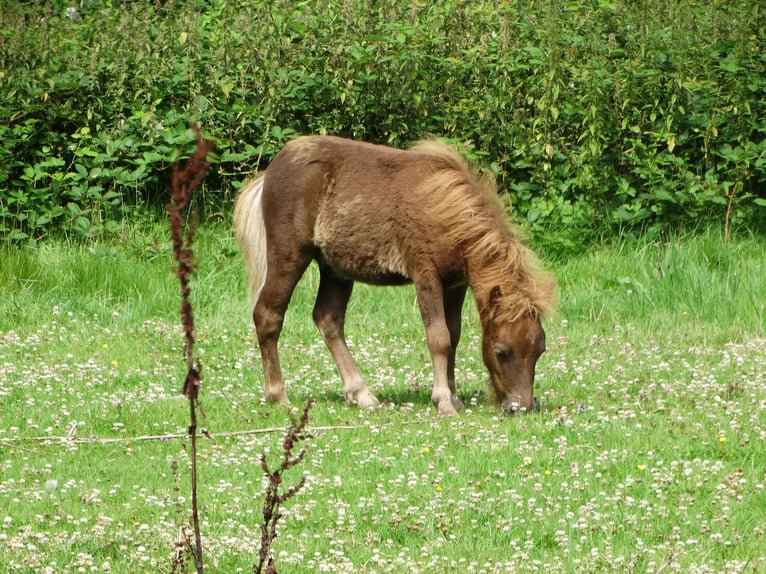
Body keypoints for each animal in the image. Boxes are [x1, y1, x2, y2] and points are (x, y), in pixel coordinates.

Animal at [236, 137, 560, 416]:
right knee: (268, 315)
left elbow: (454, 334)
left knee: (328, 319)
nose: (520, 407)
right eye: (501, 351)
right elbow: (439, 337)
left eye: (540, 350)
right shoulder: (425, 274)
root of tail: (270, 172)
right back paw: (278, 395)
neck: (445, 211)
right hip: (289, 255)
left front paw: (454, 396)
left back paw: (362, 394)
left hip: (335, 269)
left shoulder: (456, 283)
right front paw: (443, 402)